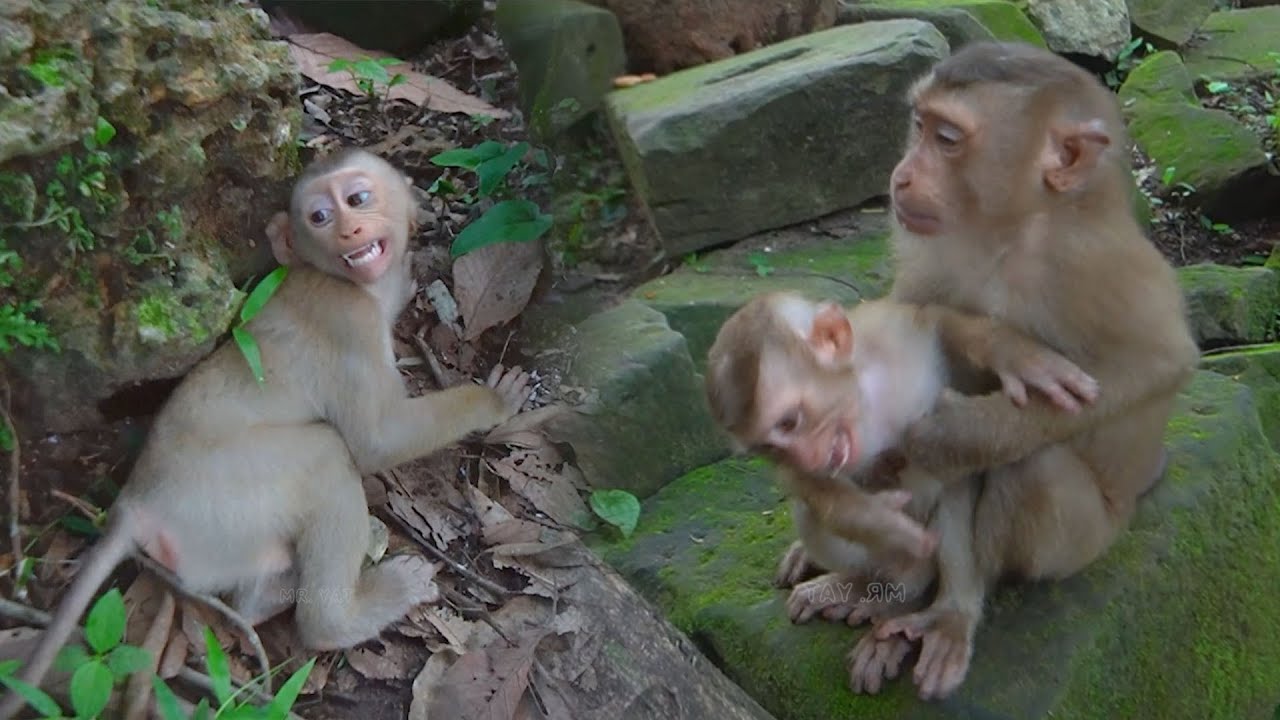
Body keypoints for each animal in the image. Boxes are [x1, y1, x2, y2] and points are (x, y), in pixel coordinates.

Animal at [0, 148, 534, 717]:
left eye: (358, 198)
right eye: (319, 216)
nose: (348, 230)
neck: (341, 280)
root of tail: (134, 501)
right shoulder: (346, 318)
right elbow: (374, 441)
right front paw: (491, 403)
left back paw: (268, 597)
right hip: (221, 493)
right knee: (326, 454)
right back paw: (339, 618)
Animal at [703, 291, 1098, 648]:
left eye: (789, 422)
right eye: (770, 450)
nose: (806, 458)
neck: (866, 406)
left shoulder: (890, 338)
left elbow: (934, 319)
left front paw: (1017, 357)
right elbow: (816, 491)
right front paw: (881, 521)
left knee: (955, 495)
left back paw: (940, 608)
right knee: (814, 518)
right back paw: (864, 583)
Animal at [838, 41, 1200, 700]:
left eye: (947, 139)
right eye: (919, 127)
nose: (901, 176)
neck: (1009, 233)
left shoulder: (1094, 260)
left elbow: (1158, 364)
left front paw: (957, 431)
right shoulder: (931, 250)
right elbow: (907, 333)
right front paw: (1005, 349)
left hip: (1087, 540)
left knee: (1031, 464)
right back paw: (903, 592)